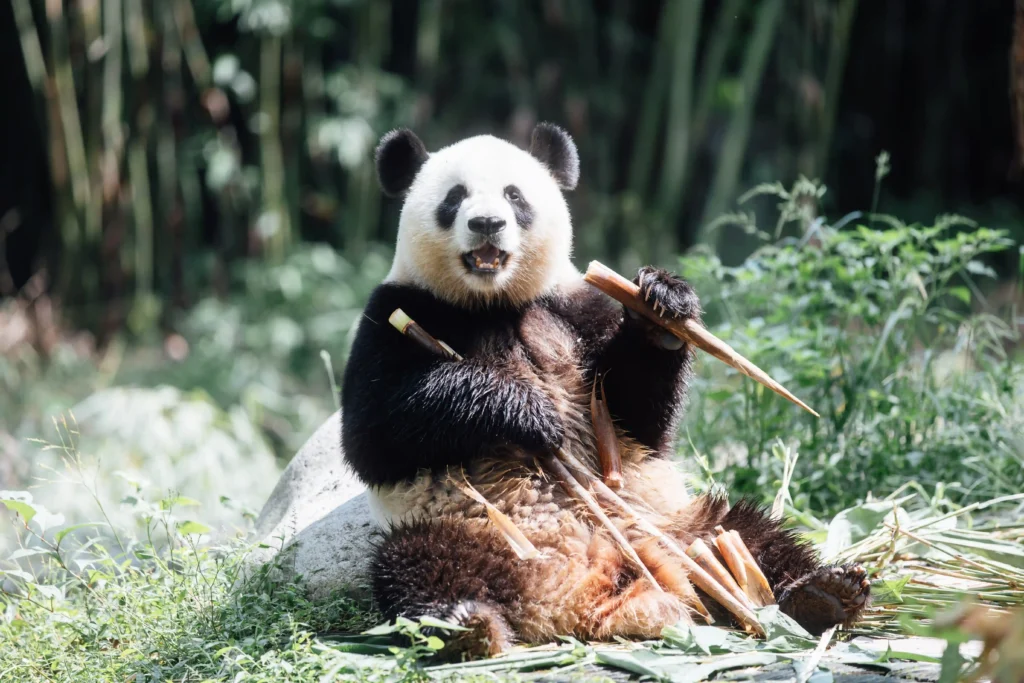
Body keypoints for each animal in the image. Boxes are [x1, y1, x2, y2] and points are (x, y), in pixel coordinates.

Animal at [339, 124, 868, 663]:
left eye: (514, 195)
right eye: (454, 197)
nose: (487, 222)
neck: (495, 302)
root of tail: (581, 589)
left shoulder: (577, 308)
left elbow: (635, 414)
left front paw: (663, 303)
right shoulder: (396, 312)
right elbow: (376, 432)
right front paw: (526, 414)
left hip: (678, 523)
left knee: (750, 532)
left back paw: (823, 593)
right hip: (473, 528)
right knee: (416, 565)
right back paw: (466, 624)